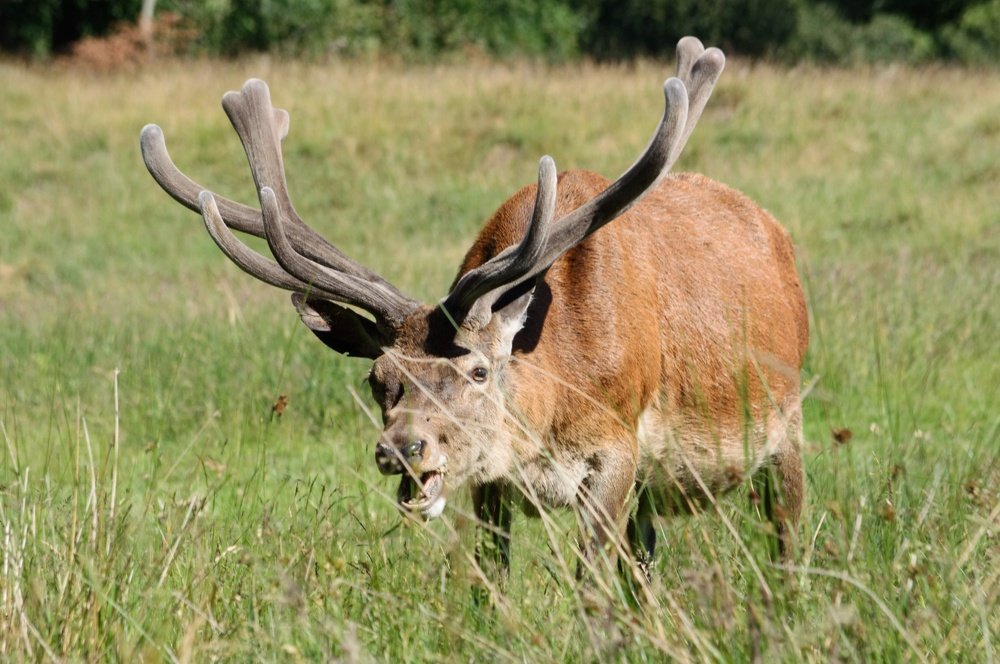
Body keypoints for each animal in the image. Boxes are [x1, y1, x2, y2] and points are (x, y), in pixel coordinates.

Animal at [140, 37, 808, 587]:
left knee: (784, 537)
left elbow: (591, 586)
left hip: (789, 420)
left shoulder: (619, 447)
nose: (401, 448)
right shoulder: (494, 483)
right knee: (645, 568)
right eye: (377, 378)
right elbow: (492, 578)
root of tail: (774, 229)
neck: (551, 412)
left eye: (478, 372)